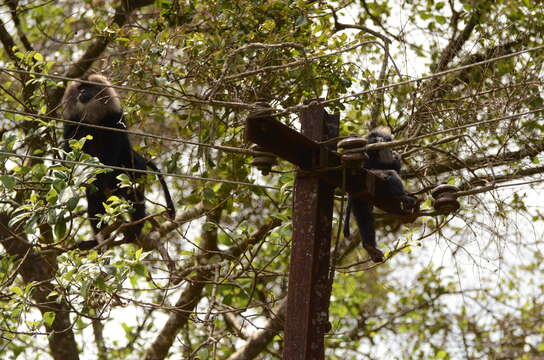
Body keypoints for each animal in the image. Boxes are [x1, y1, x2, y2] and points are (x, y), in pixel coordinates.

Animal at [62, 73, 175, 248]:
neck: (93, 118)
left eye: (88, 87)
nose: (82, 93)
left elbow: (114, 146)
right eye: (80, 88)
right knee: (95, 199)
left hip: (134, 168)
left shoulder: (113, 118)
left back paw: (135, 228)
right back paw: (97, 239)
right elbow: (69, 149)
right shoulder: (72, 122)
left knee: (134, 195)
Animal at [342, 126, 418, 262]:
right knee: (390, 174)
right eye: (376, 138)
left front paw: (395, 156)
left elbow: (395, 164)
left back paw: (370, 247)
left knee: (364, 214)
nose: (380, 140)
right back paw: (402, 196)